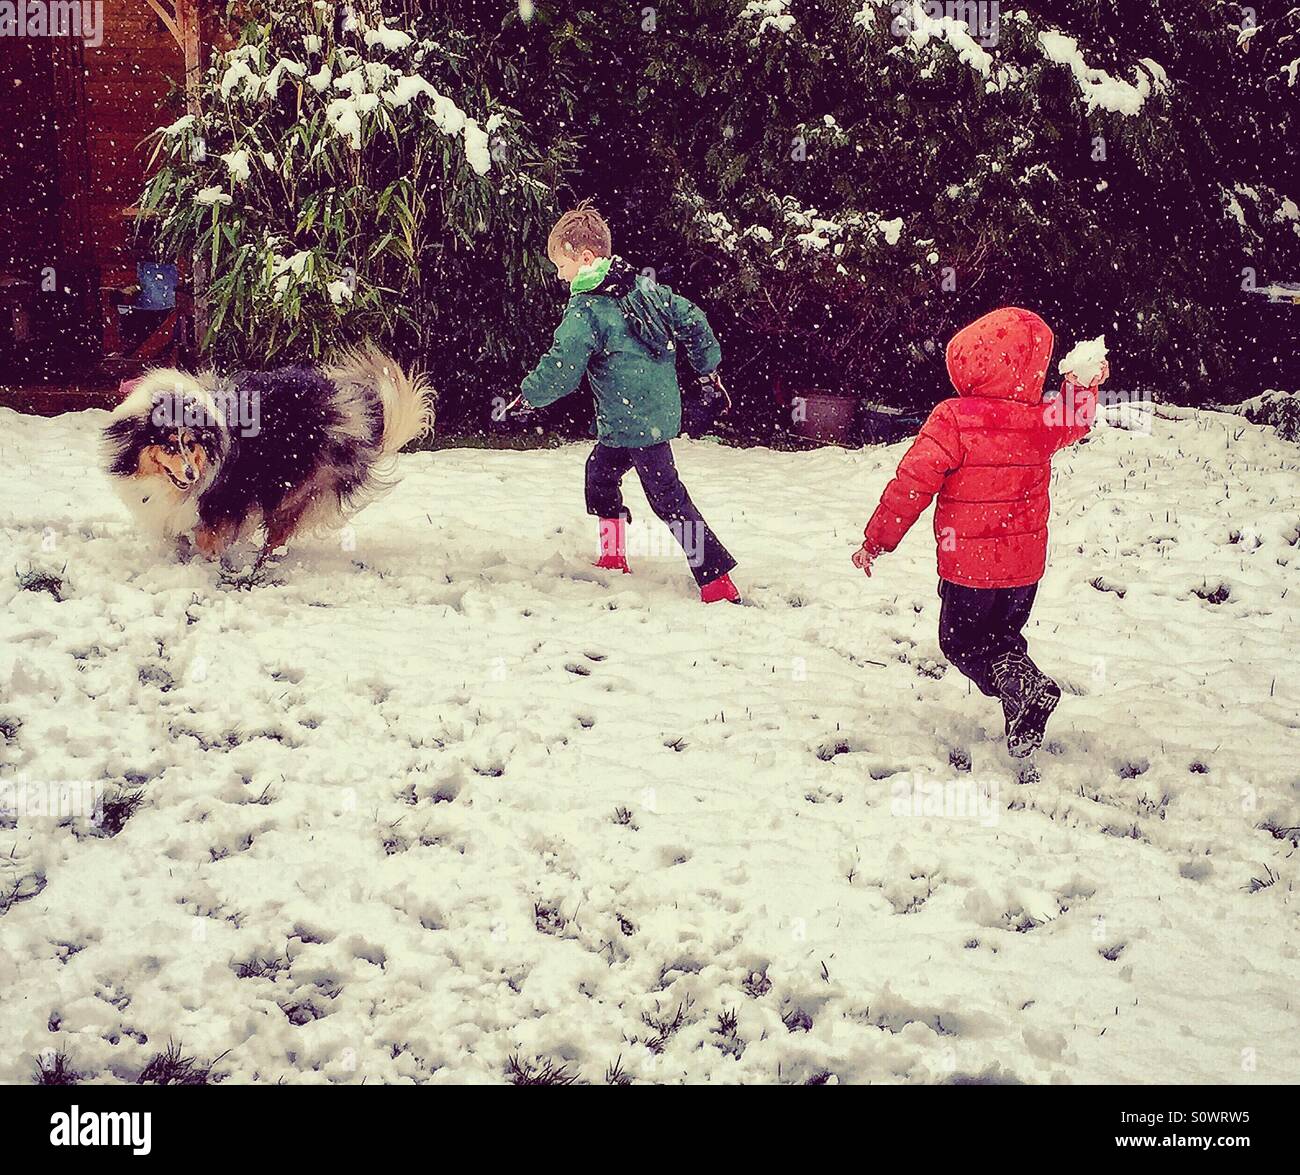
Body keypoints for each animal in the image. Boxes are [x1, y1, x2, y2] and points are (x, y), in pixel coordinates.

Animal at [101, 343, 434, 558]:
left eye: (192, 443)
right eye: (169, 444)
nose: (191, 474)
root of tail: (352, 412)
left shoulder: (225, 499)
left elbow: (207, 534)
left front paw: (209, 557)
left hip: (300, 487)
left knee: (279, 531)